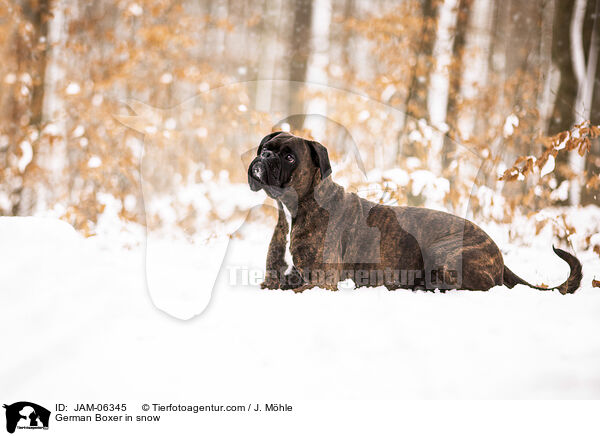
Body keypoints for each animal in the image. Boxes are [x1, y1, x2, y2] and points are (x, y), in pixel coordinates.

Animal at [247, 129, 580, 292]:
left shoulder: (321, 281)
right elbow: (272, 283)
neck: (299, 206)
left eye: (289, 157)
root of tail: (497, 253)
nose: (264, 156)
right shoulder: (282, 275)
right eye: (266, 147)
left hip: (443, 252)